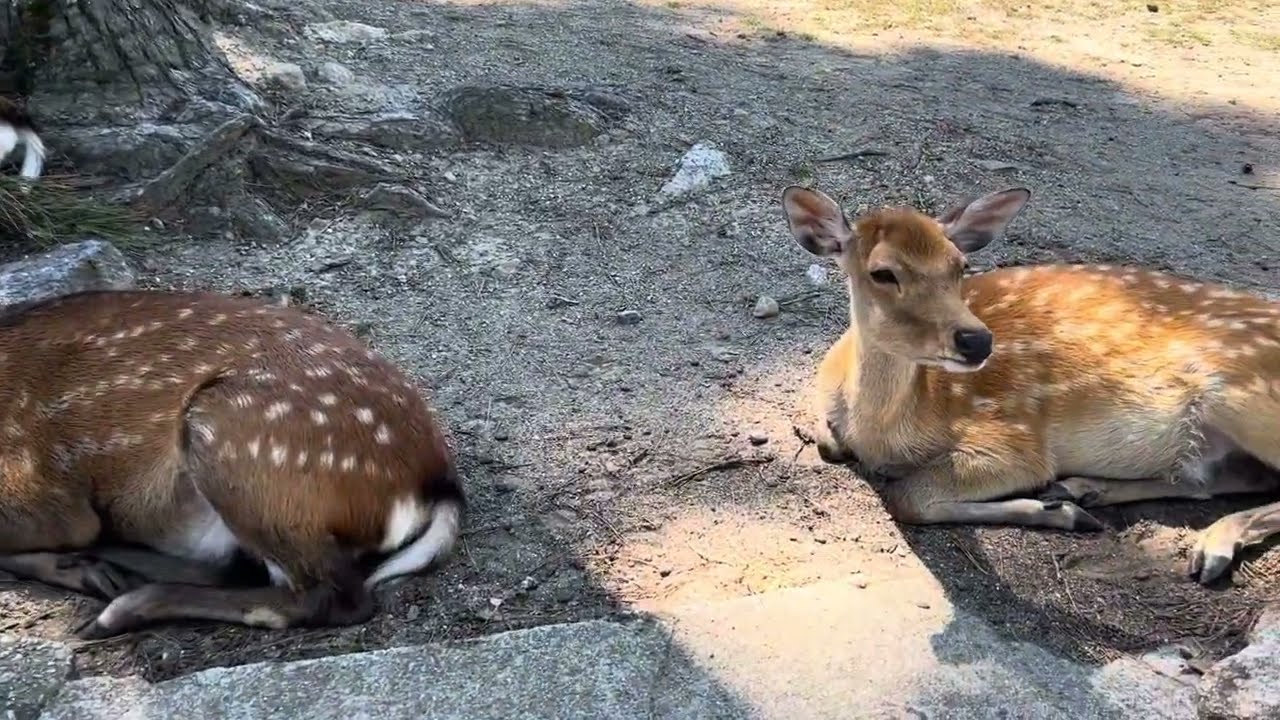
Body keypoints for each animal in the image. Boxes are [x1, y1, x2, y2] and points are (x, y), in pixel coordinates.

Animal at [781, 184, 1280, 586]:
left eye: (960, 265)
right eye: (883, 272)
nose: (977, 339)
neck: (884, 435)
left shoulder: (1015, 441)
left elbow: (908, 497)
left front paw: (1058, 513)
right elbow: (831, 444)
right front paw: (1063, 506)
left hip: (1243, 397)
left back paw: (1208, 544)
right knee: (1218, 478)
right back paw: (1083, 491)